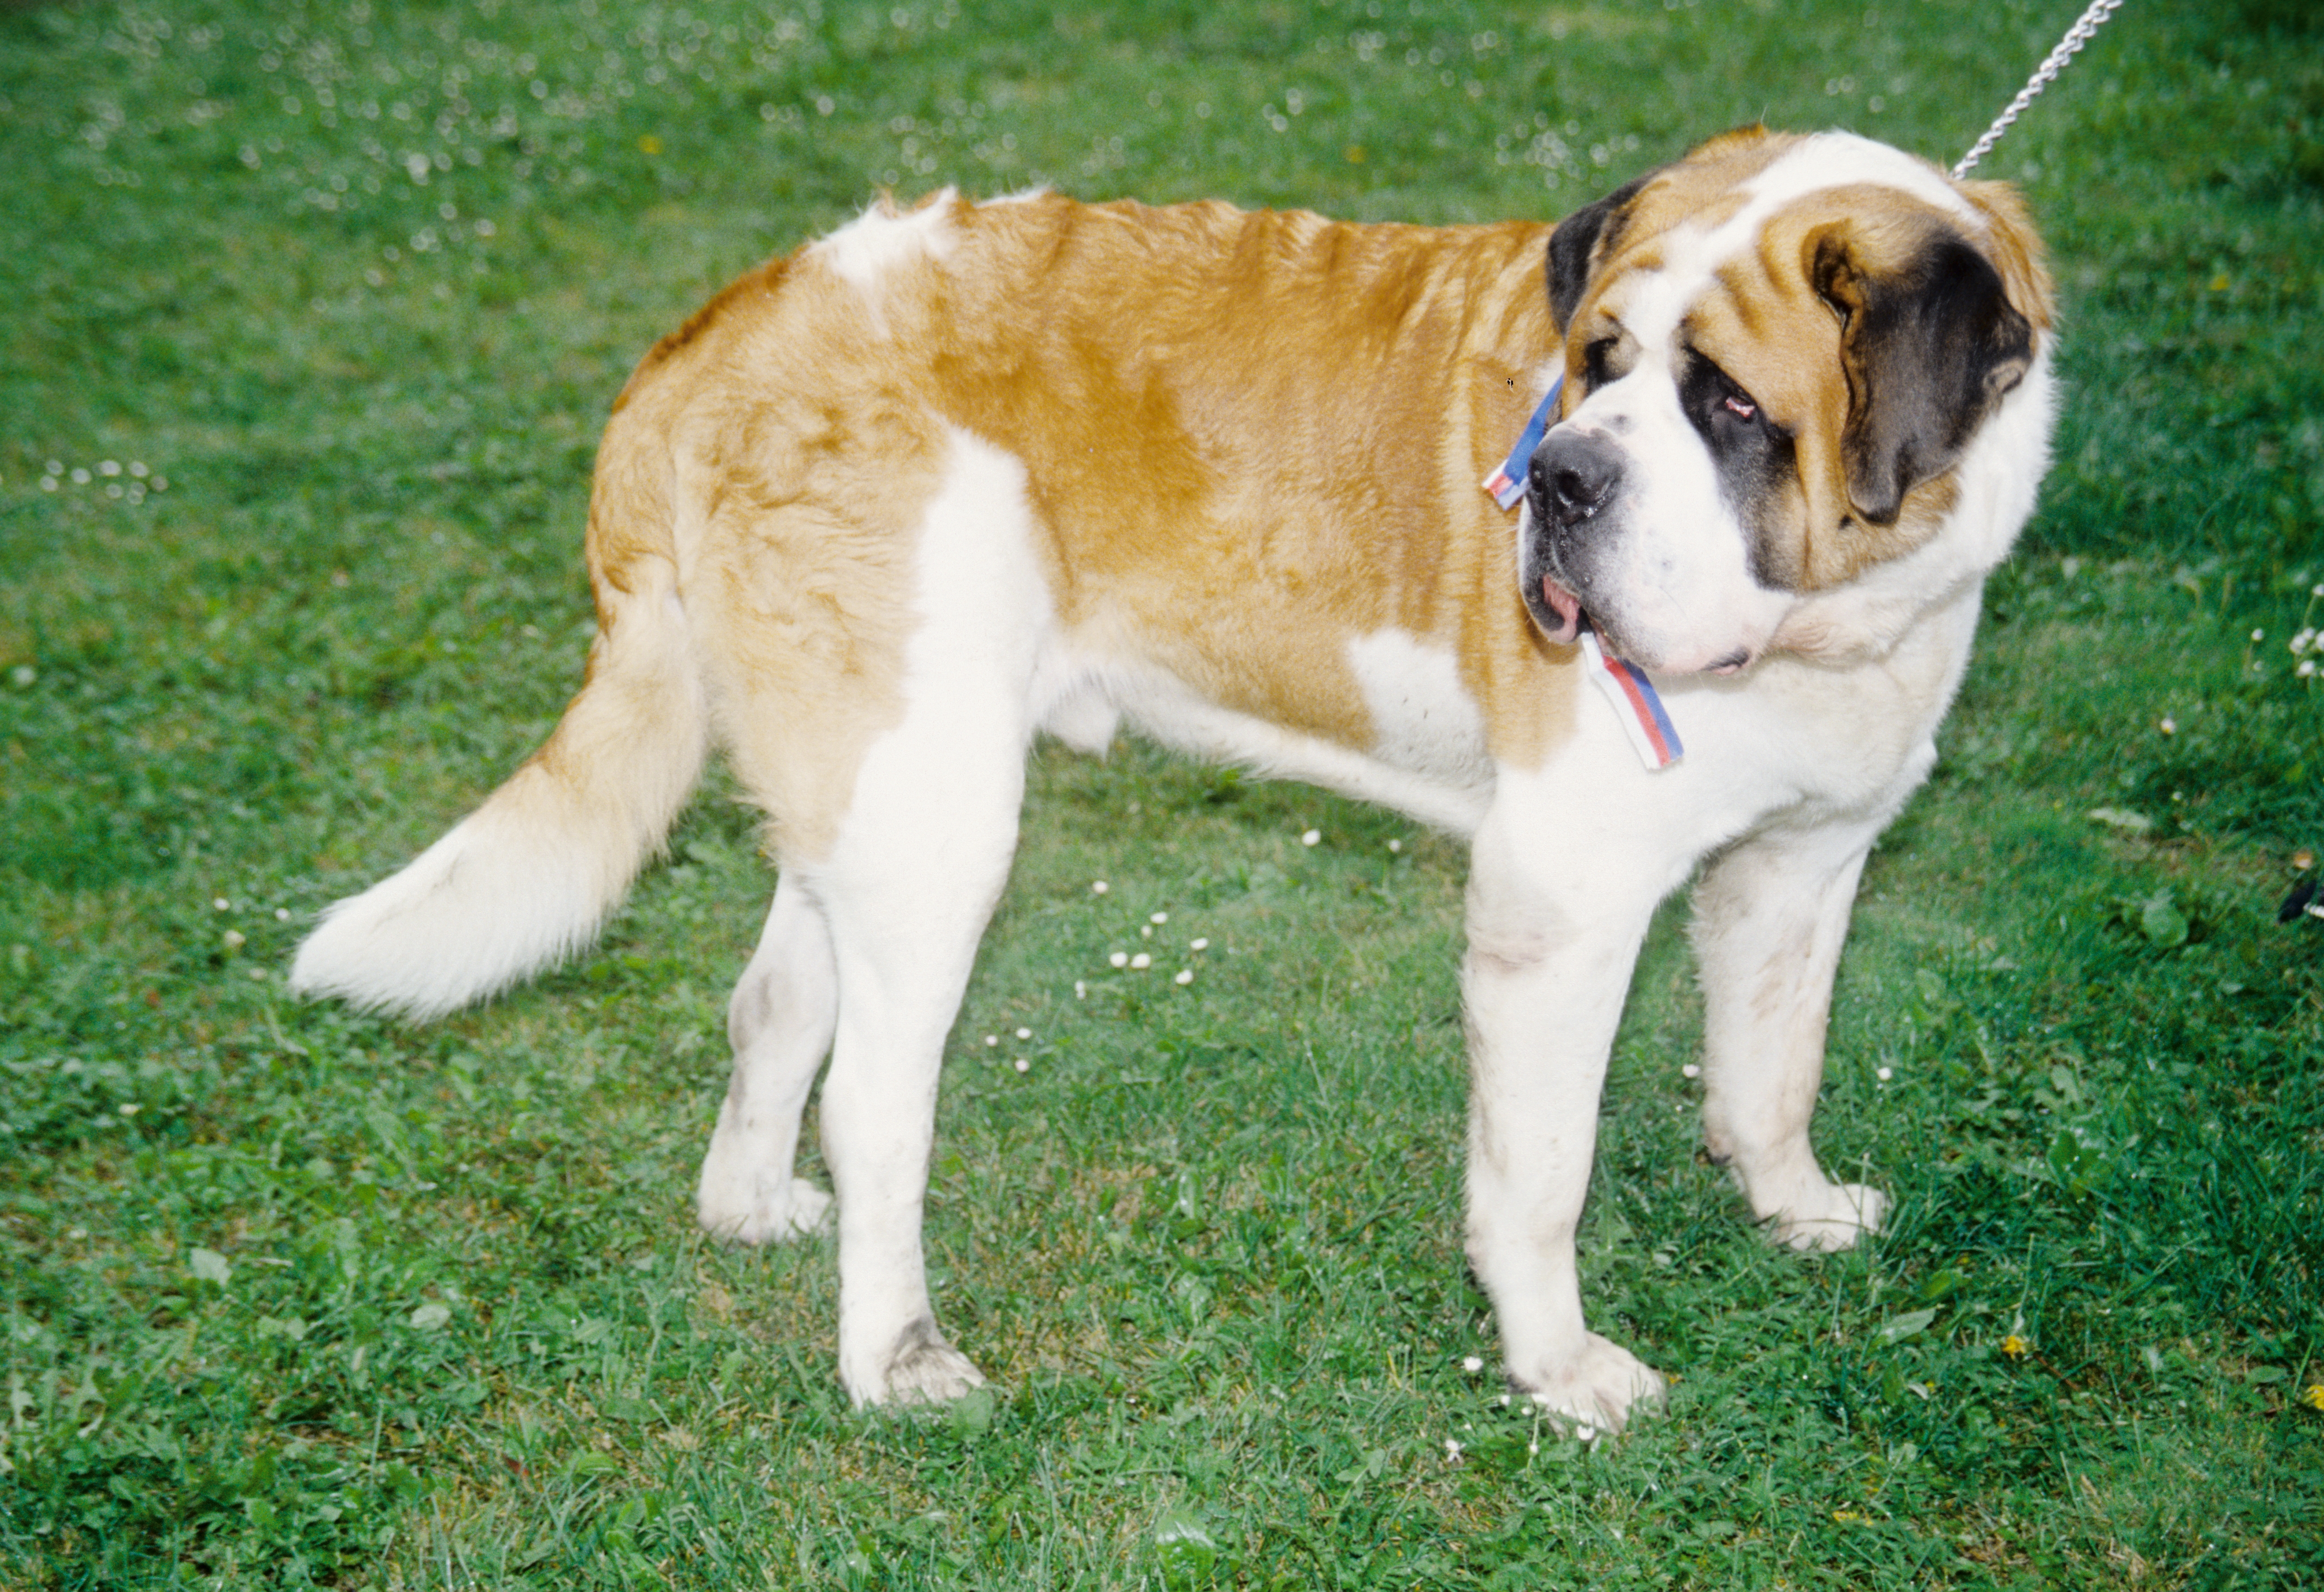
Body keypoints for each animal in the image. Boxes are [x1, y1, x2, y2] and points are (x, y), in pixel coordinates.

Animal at [290, 127, 2054, 1432]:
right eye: (1594, 362)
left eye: (1728, 402)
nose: (1552, 478)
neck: (1824, 621)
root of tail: (737, 315)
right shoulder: (1558, 902)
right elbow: (1537, 1171)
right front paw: (1557, 1369)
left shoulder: (1807, 862)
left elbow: (1771, 1068)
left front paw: (1792, 1209)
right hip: (941, 811)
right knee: (874, 1095)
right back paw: (894, 1357)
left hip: (871, 779)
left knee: (774, 1000)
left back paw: (750, 1208)